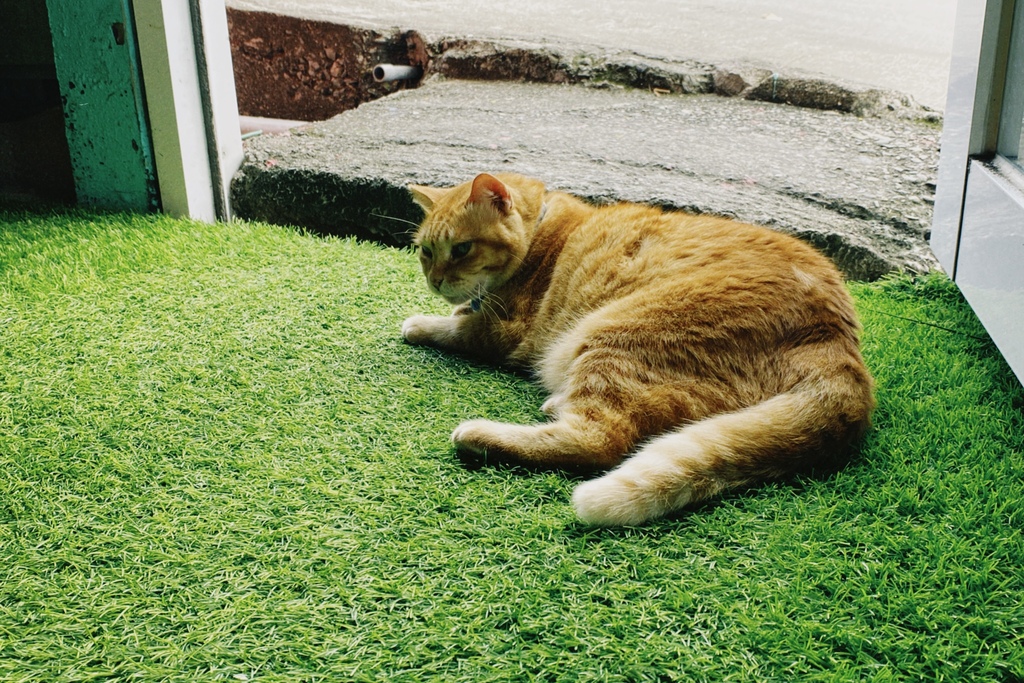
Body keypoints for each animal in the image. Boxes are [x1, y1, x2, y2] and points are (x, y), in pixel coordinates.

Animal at [403, 174, 876, 528]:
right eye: (425, 251)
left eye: (462, 249)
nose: (435, 281)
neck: (543, 233)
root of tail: (835, 340)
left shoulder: (501, 332)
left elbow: (452, 328)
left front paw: (419, 323)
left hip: (613, 333)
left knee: (599, 440)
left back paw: (480, 435)